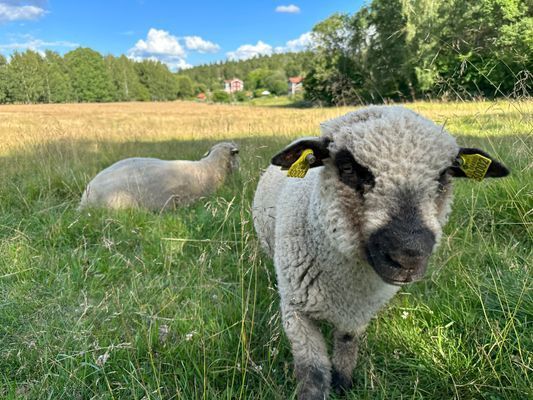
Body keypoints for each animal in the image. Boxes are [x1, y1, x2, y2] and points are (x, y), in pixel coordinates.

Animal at [251, 104, 510, 398]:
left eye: (444, 175)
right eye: (348, 168)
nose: (408, 257)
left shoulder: (357, 314)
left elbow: (347, 348)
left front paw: (343, 385)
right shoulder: (296, 312)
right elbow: (313, 370)